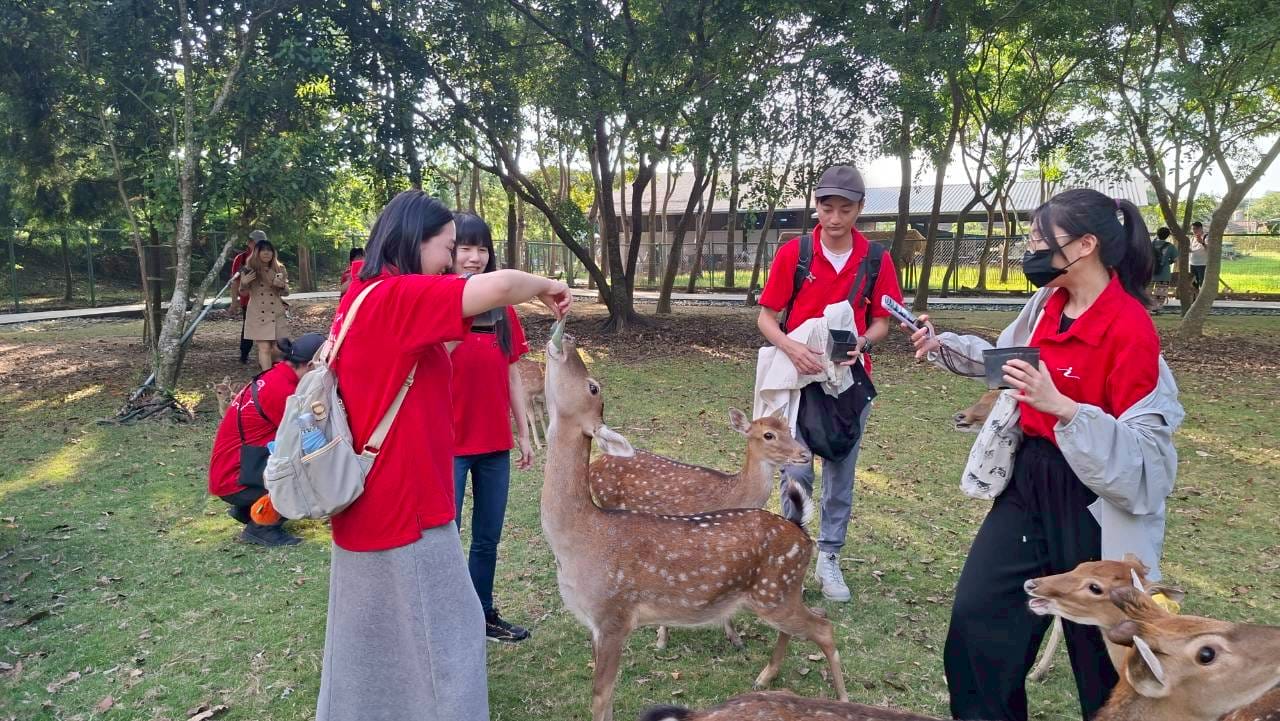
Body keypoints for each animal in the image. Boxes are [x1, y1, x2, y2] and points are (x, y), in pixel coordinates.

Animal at [590, 407, 811, 650]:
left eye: (789, 429)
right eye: (768, 435)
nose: (805, 454)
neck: (731, 496)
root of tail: (594, 463)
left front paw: (735, 638)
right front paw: (662, 638)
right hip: (607, 502)